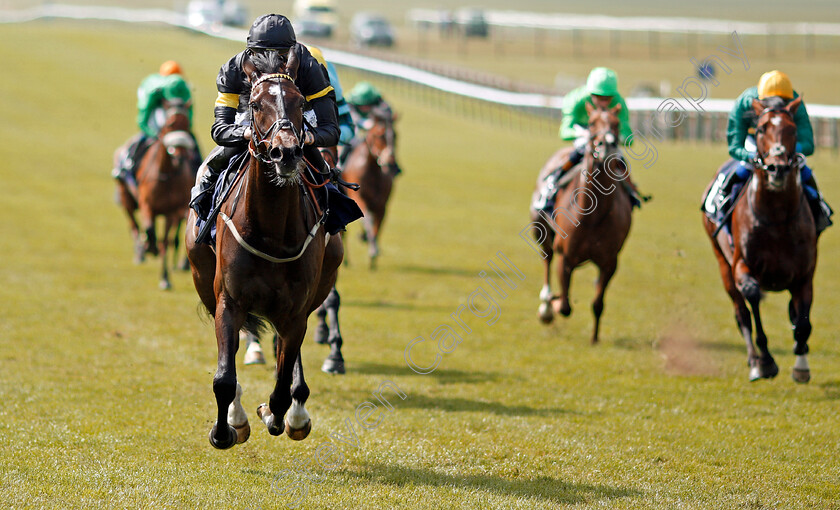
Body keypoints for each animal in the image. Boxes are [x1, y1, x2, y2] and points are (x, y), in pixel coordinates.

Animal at [114, 101, 196, 288]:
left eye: (187, 125)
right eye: (170, 124)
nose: (181, 156)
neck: (166, 174)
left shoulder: (172, 211)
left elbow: (165, 241)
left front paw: (165, 278)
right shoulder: (147, 206)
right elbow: (150, 231)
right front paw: (149, 246)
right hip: (126, 199)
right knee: (134, 226)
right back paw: (140, 252)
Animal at [185, 53, 342, 448]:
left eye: (300, 102)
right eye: (255, 104)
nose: (285, 152)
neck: (271, 230)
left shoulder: (296, 310)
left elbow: (282, 386)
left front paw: (278, 414)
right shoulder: (228, 300)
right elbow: (224, 378)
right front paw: (227, 428)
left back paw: (296, 414)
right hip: (202, 276)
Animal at [340, 108, 398, 270]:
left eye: (395, 135)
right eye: (379, 134)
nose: (391, 163)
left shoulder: (382, 204)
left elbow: (377, 225)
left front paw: (373, 250)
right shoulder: (360, 198)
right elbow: (368, 221)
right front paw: (370, 246)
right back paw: (346, 260)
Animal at [532, 100, 632, 342]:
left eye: (616, 124)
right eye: (592, 122)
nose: (607, 145)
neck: (593, 216)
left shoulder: (609, 262)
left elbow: (598, 303)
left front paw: (594, 338)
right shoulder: (566, 257)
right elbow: (565, 306)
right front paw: (553, 304)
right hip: (541, 230)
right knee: (546, 259)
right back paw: (546, 305)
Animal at [700, 96, 816, 382]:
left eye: (793, 129)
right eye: (761, 129)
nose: (777, 168)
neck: (777, 219)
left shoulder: (804, 274)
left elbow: (802, 322)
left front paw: (801, 365)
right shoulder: (741, 264)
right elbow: (752, 296)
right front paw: (766, 361)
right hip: (722, 263)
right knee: (741, 313)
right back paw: (754, 360)